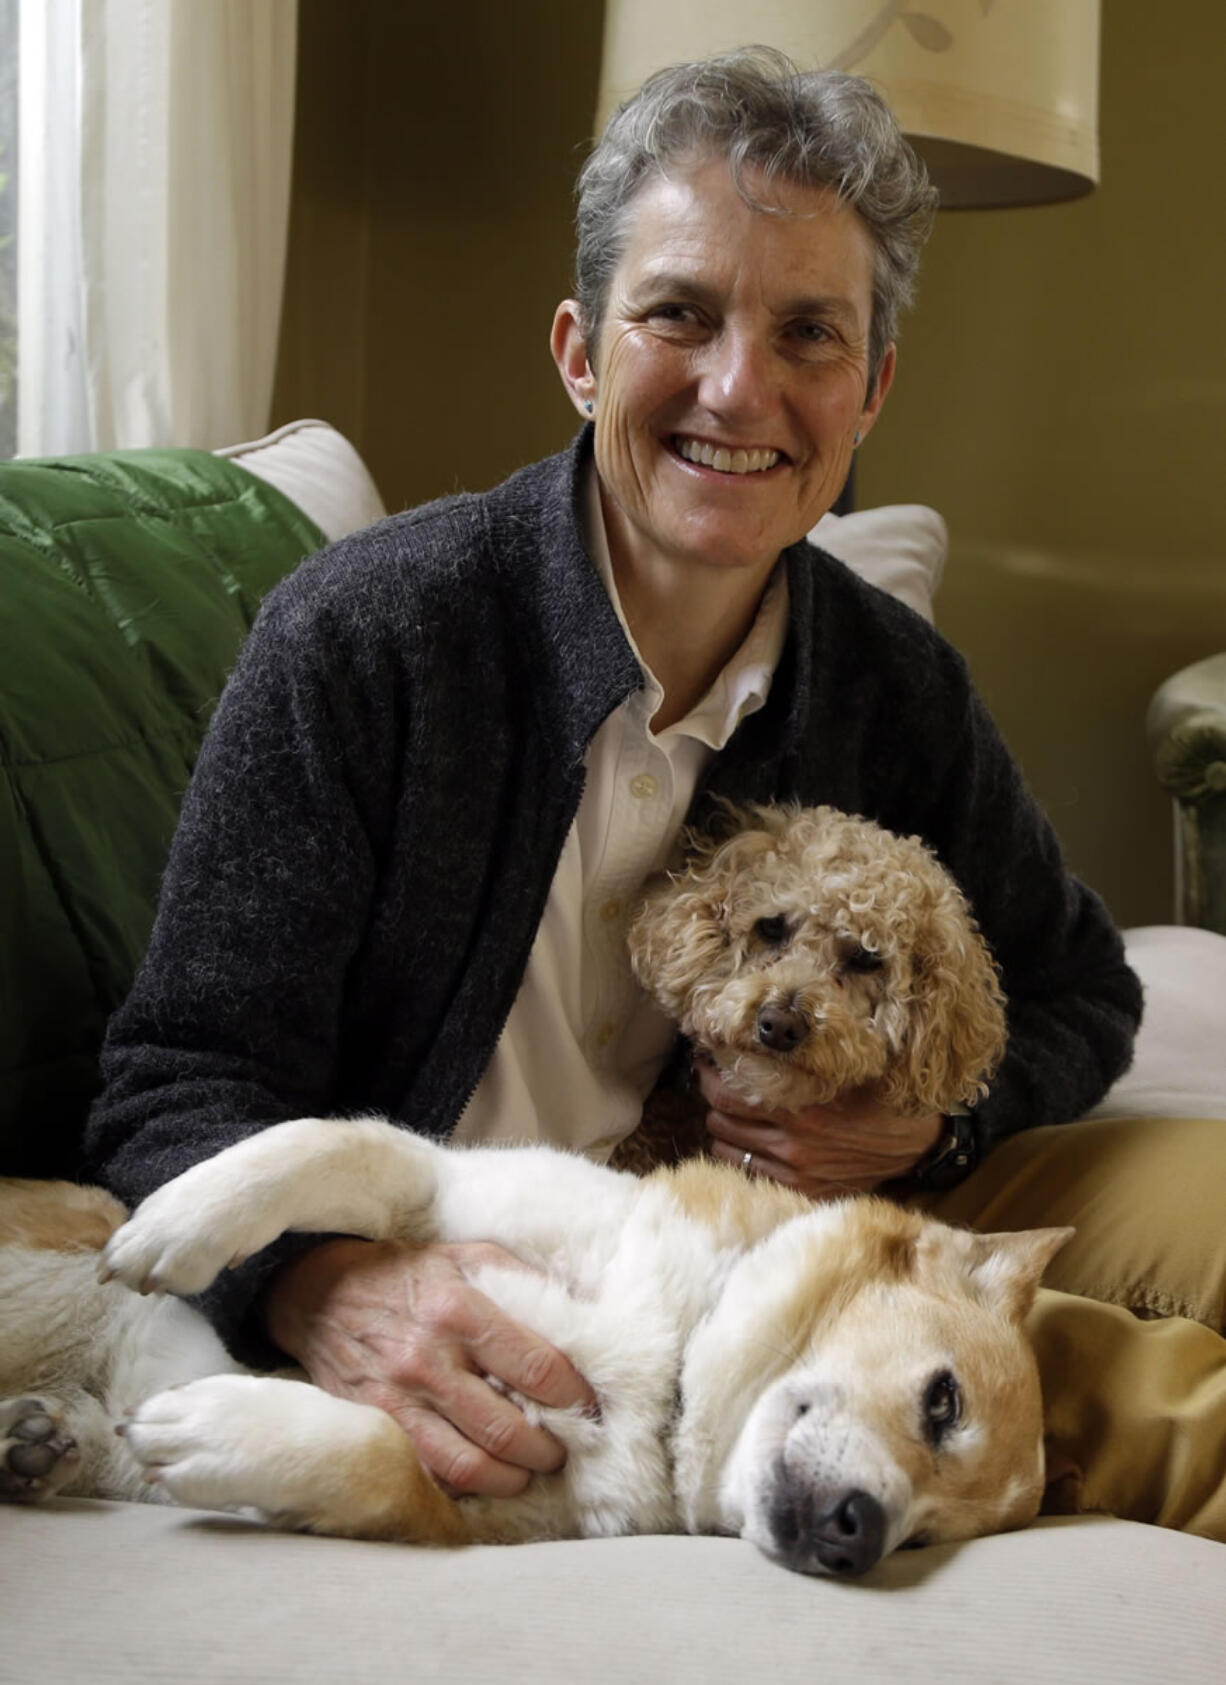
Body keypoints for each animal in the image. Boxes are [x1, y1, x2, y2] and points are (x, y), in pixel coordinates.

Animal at [0, 808, 1064, 1570]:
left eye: (928, 1534)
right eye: (943, 1401)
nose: (859, 1535)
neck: (673, 1366)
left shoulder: (465, 1503)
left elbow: (371, 1456)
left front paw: (216, 1425)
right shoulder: (447, 1185)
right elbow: (331, 1144)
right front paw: (180, 1221)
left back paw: (40, 1441)